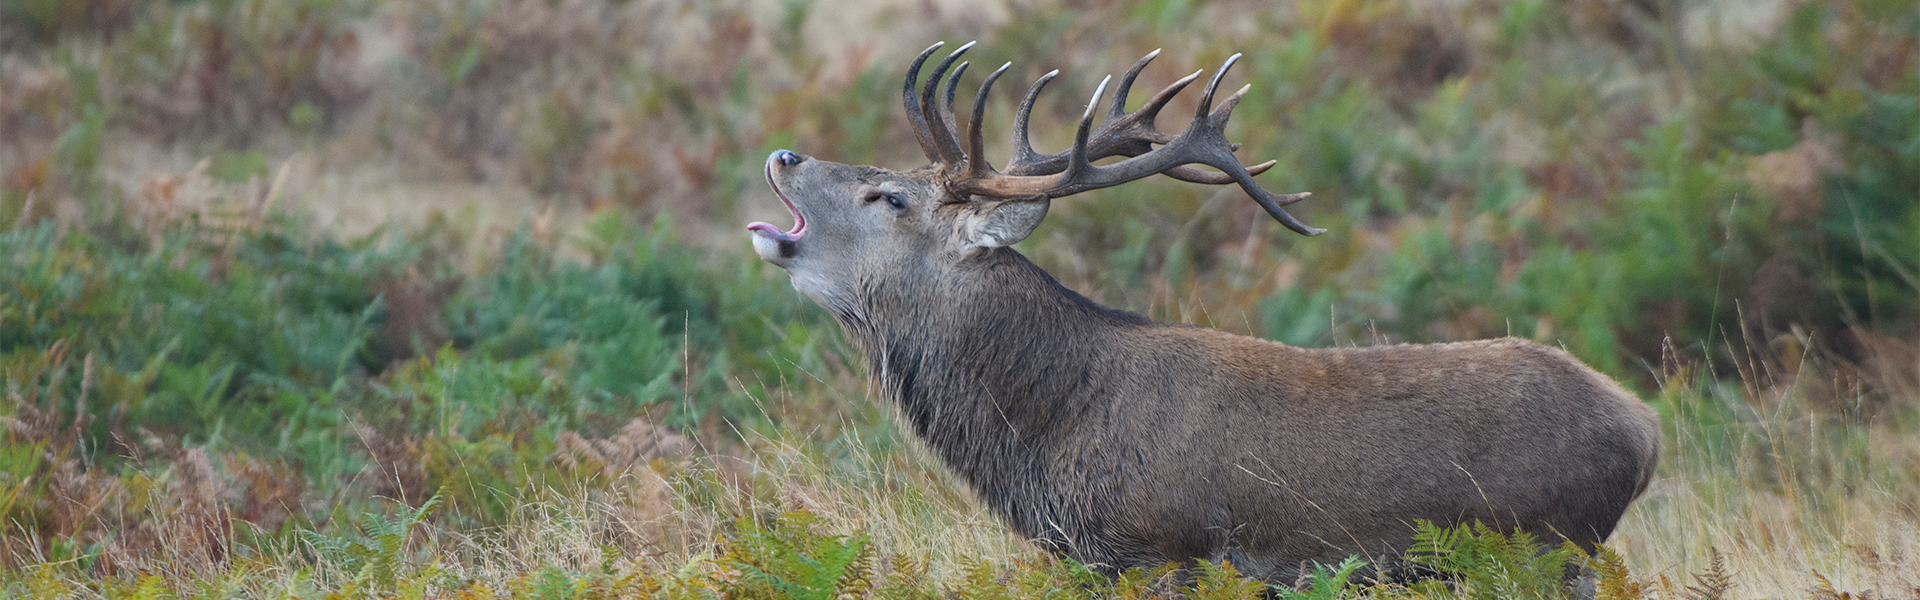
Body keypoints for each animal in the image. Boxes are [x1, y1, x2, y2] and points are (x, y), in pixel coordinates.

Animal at [745, 41, 1660, 581]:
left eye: (888, 196)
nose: (783, 153)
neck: (1050, 439)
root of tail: (1647, 430)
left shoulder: (1163, 550)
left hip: (1550, 549)